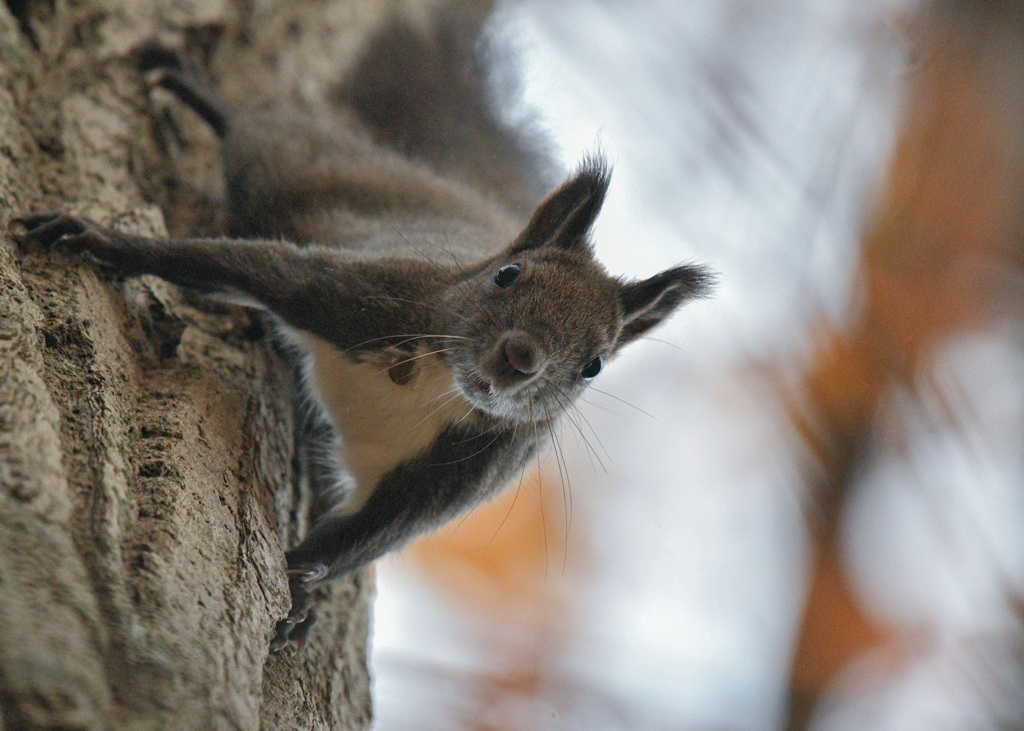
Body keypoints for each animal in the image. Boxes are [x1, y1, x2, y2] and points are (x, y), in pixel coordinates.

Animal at [8, 31, 712, 651]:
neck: (435, 382)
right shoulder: (364, 293)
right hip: (301, 174)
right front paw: (101, 241)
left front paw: (300, 586)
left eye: (594, 365)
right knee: (258, 135)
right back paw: (194, 84)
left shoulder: (473, 465)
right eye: (508, 275)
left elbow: (373, 532)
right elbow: (235, 264)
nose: (521, 359)